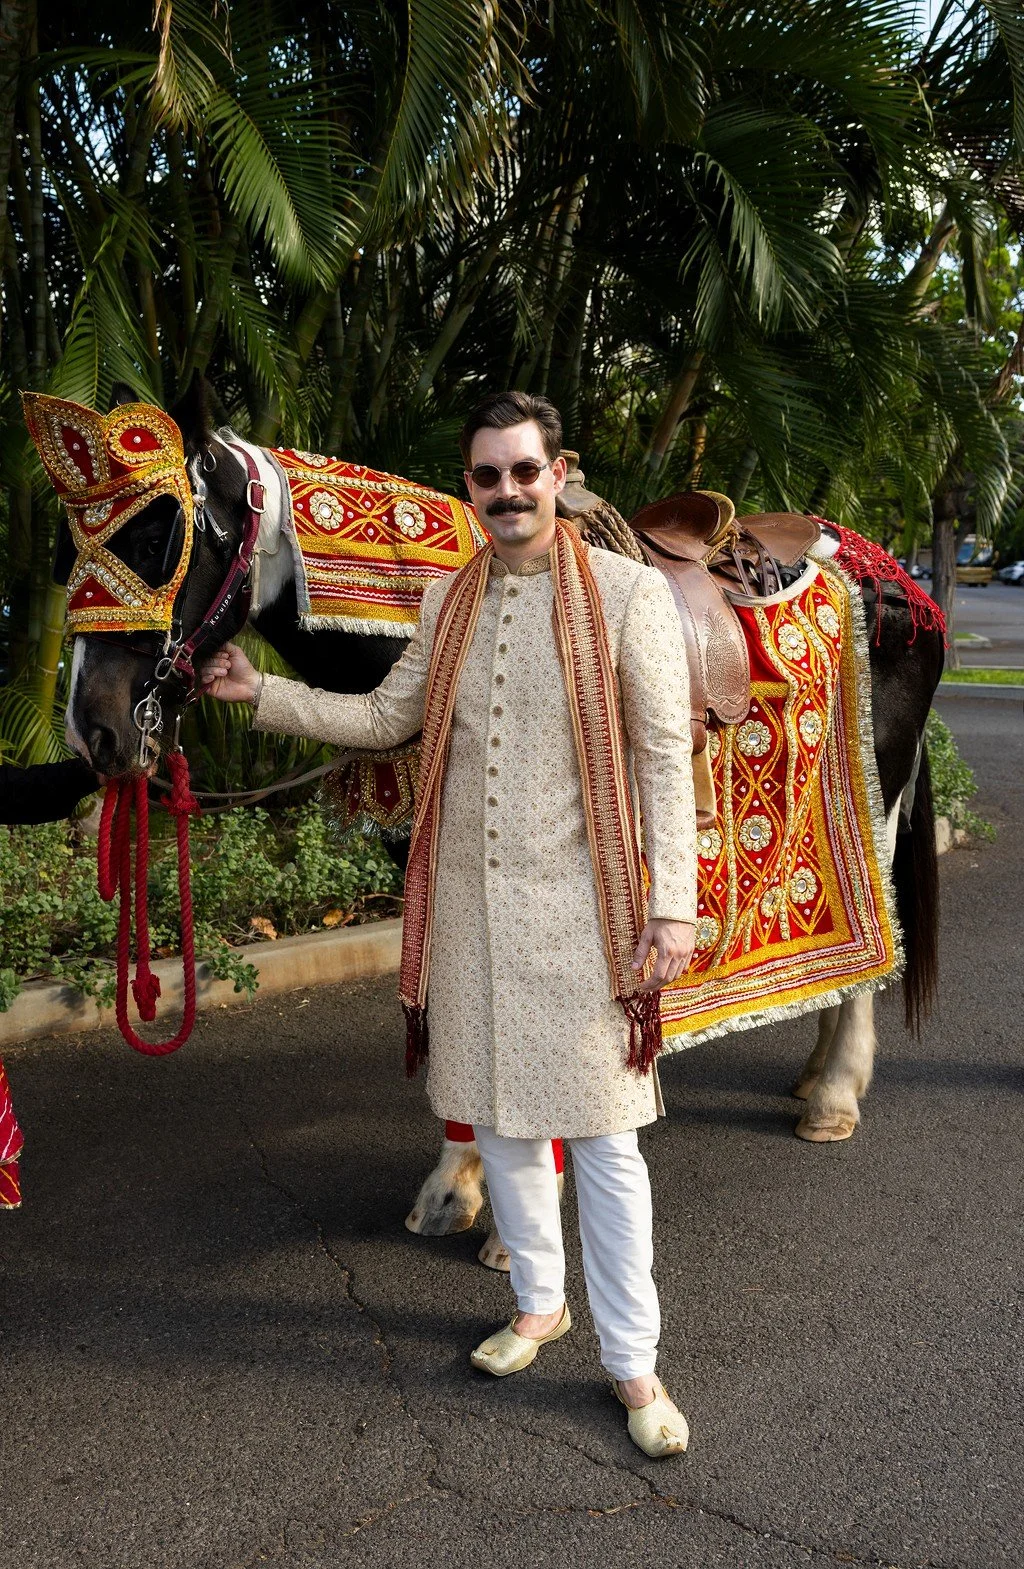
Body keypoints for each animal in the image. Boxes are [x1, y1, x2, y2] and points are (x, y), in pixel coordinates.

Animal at [54, 381, 943, 1264]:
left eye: (160, 536)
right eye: (70, 550)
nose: (93, 728)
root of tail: (889, 572)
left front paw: (521, 1221)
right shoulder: (429, 859)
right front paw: (460, 1182)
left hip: (881, 795)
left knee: (880, 924)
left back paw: (834, 1092)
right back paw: (817, 1070)